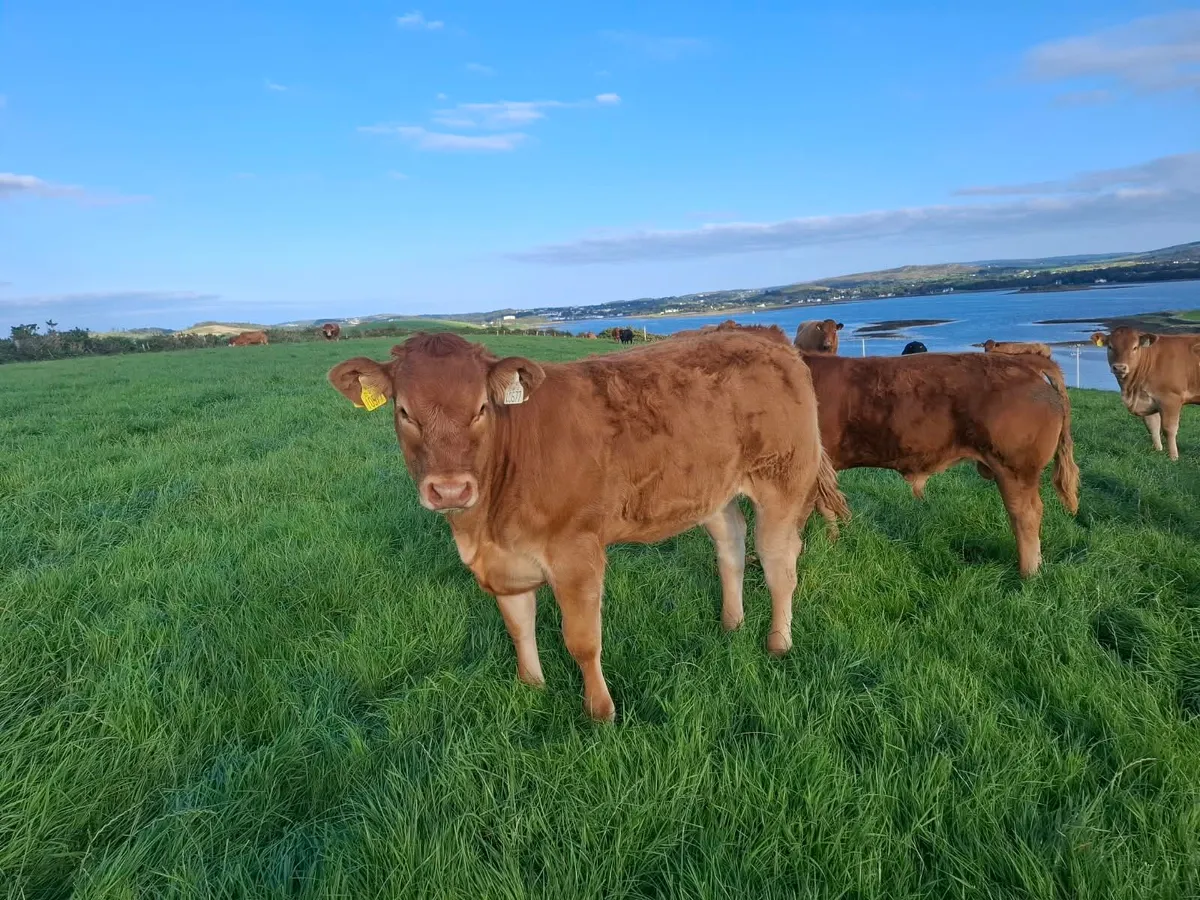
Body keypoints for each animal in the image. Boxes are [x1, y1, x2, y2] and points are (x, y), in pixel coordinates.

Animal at [328, 329, 849, 721]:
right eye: (403, 411)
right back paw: (730, 624)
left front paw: (600, 712)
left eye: (480, 408)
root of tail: (769, 339)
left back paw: (777, 643)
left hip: (783, 482)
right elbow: (519, 627)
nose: (451, 490)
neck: (484, 527)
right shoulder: (505, 564)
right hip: (713, 489)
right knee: (732, 545)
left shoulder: (576, 553)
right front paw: (532, 688)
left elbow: (581, 641)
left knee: (781, 563)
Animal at [801, 351, 1079, 577]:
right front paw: (832, 542)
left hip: (1014, 468)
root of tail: (1023, 362)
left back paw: (1028, 573)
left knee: (1025, 515)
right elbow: (826, 507)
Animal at [1091, 327, 1200, 460]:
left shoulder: (1171, 399)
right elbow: (1153, 426)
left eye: (1134, 347)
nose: (1120, 367)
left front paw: (1173, 457)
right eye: (1110, 346)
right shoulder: (1148, 400)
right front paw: (1158, 451)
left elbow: (1169, 429)